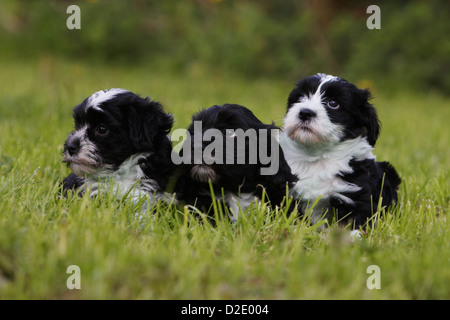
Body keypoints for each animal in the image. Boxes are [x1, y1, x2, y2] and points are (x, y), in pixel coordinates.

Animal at [282, 74, 400, 229]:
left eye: (333, 103)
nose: (305, 112)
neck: (319, 155)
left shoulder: (355, 194)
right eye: (300, 97)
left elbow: (355, 220)